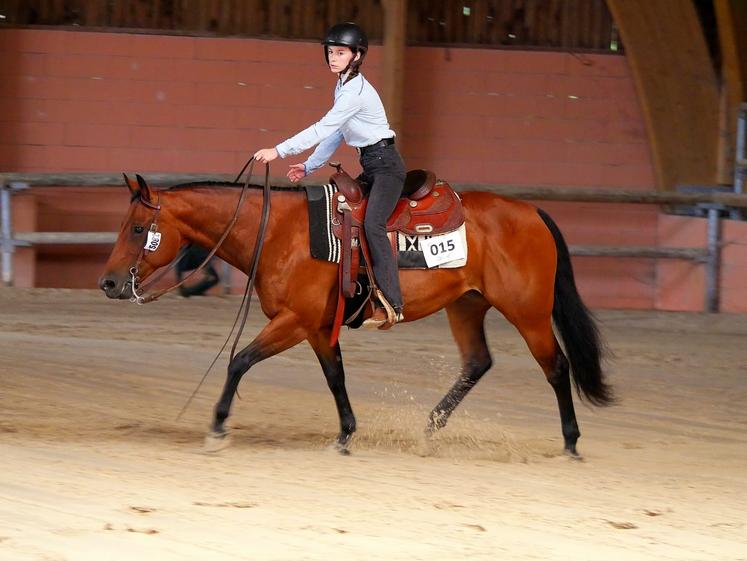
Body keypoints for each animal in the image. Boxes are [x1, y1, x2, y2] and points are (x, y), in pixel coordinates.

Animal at [99, 173, 612, 458]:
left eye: (139, 228)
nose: (108, 283)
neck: (283, 232)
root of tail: (532, 212)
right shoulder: (316, 328)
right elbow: (335, 378)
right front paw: (345, 435)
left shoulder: (294, 321)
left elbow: (239, 360)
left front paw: (217, 427)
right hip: (466, 305)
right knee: (477, 363)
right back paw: (428, 430)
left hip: (528, 313)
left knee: (556, 367)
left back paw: (571, 443)